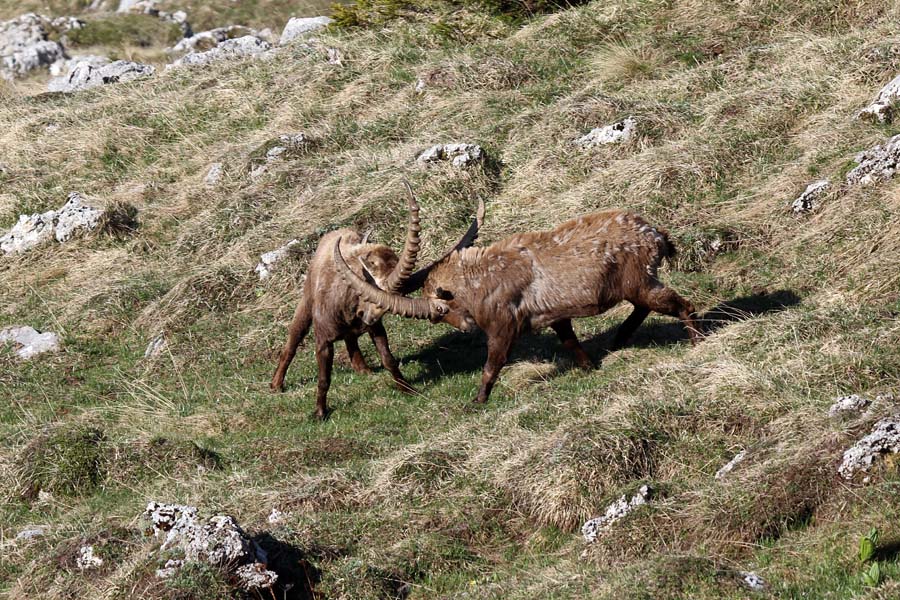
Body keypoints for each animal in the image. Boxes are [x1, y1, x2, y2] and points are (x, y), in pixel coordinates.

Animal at [270, 182, 482, 419]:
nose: (367, 318)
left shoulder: (377, 329)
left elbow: (388, 358)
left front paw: (408, 389)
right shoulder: (323, 339)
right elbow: (324, 378)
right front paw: (319, 413)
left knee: (351, 341)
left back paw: (363, 369)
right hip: (306, 305)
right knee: (293, 340)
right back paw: (276, 384)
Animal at [334, 209, 700, 405]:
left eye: (440, 310)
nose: (465, 327)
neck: (478, 278)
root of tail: (655, 235)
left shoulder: (503, 324)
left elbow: (492, 362)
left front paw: (479, 399)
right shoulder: (555, 315)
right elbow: (569, 339)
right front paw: (588, 366)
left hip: (640, 282)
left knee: (681, 304)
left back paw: (696, 338)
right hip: (637, 286)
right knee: (646, 307)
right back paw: (620, 338)